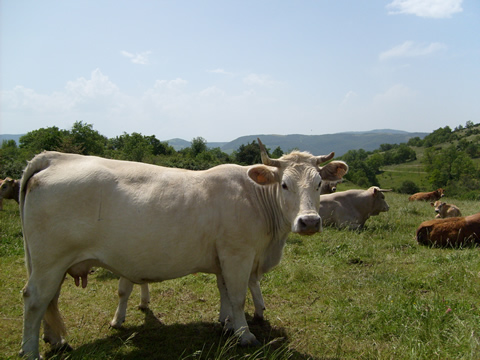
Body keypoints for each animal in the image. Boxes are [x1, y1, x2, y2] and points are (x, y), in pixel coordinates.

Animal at [19, 139, 348, 360]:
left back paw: (55, 340)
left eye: (319, 184)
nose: (309, 221)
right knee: (35, 299)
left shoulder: (223, 255)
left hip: (50, 263)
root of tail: (56, 157)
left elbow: (224, 291)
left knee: (50, 300)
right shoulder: (238, 254)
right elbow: (238, 296)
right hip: (50, 260)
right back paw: (31, 351)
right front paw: (244, 334)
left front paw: (226, 324)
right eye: (284, 185)